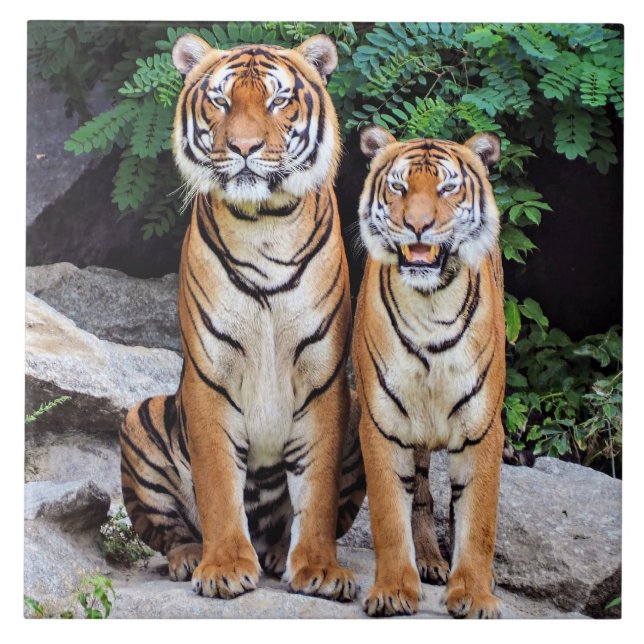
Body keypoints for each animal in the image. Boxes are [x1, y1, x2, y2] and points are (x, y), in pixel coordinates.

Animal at [119, 33, 365, 602]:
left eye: (278, 101)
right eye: (221, 100)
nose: (245, 148)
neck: (264, 224)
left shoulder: (324, 379)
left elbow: (317, 491)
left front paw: (319, 567)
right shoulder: (210, 375)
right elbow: (216, 483)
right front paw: (226, 566)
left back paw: (277, 554)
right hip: (140, 418)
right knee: (169, 532)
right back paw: (191, 557)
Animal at [351, 125, 506, 618]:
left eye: (447, 188)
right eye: (399, 188)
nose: (417, 225)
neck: (431, 304)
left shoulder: (483, 429)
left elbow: (477, 521)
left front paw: (474, 595)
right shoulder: (381, 424)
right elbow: (388, 514)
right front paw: (393, 589)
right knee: (420, 494)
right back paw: (429, 562)